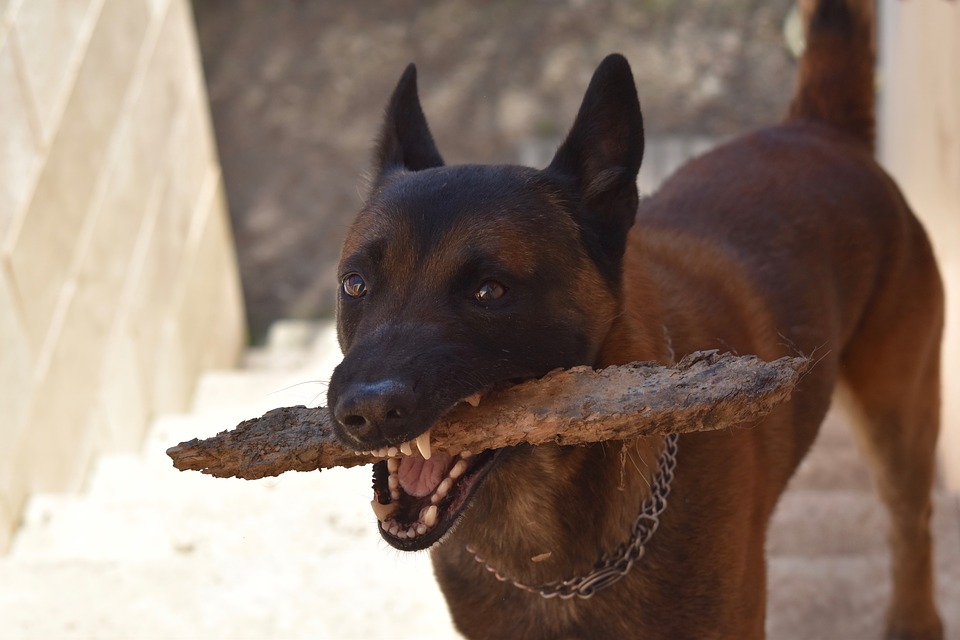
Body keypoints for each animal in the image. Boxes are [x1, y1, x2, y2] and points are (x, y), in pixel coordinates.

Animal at [326, 2, 940, 636]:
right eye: (355, 284)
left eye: (488, 291)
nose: (366, 413)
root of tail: (817, 128)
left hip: (898, 425)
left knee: (912, 527)